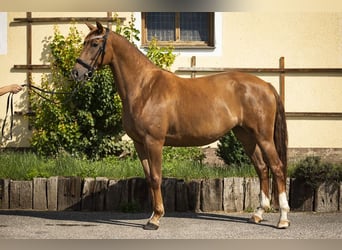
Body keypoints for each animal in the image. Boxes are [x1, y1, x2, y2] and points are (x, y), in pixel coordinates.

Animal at [71, 22, 290, 229]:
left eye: (95, 44)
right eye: (84, 42)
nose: (76, 73)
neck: (144, 88)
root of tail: (267, 85)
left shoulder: (154, 142)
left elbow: (157, 177)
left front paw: (155, 218)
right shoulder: (139, 144)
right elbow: (149, 178)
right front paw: (153, 215)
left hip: (263, 137)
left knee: (277, 168)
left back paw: (283, 219)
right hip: (245, 135)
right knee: (262, 168)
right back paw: (258, 214)